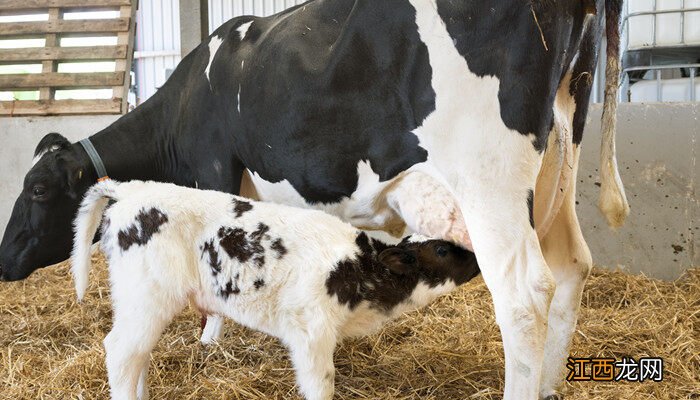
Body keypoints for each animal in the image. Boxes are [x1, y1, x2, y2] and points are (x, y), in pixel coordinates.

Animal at [72, 180, 482, 400]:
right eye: (442, 250)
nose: (478, 256)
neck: (359, 265)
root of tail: (129, 189)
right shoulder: (310, 331)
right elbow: (321, 384)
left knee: (137, 354)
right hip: (148, 296)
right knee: (121, 351)